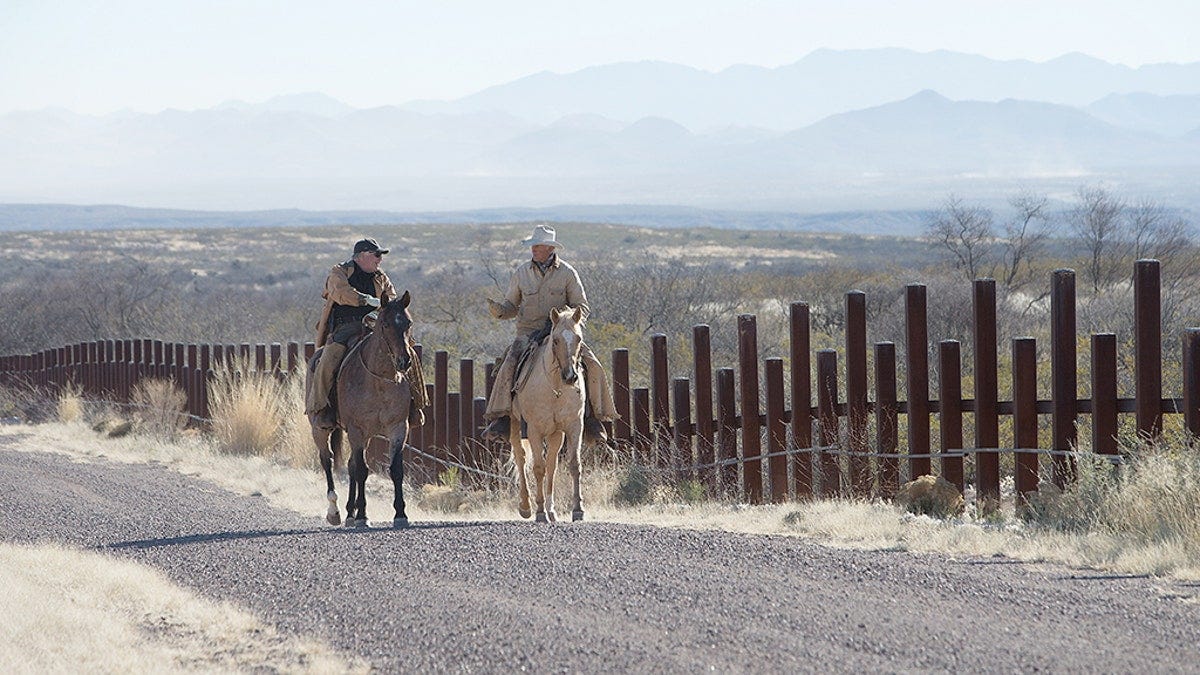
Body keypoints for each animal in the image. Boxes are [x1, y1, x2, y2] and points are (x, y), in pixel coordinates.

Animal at [307, 289, 420, 526]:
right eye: (385, 324)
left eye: (409, 322)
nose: (404, 361)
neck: (379, 380)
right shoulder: (356, 430)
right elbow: (361, 471)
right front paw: (363, 515)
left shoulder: (398, 428)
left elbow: (395, 469)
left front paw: (400, 514)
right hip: (319, 428)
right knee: (327, 460)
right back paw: (335, 511)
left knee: (349, 464)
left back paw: (350, 512)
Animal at [506, 305, 585, 521]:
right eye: (555, 340)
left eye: (578, 339)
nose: (570, 376)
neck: (556, 388)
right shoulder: (534, 430)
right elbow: (538, 468)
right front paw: (539, 511)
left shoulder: (574, 426)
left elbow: (573, 464)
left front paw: (578, 509)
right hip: (515, 424)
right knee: (521, 458)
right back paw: (526, 506)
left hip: (555, 433)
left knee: (551, 464)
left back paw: (551, 510)